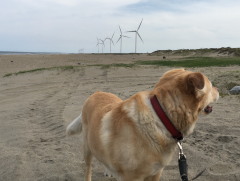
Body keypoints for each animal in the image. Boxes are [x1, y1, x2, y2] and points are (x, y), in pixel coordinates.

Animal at [66, 68, 219, 181]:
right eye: (211, 86)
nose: (218, 90)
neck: (161, 117)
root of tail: (96, 93)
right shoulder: (133, 177)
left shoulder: (156, 173)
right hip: (87, 148)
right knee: (88, 168)